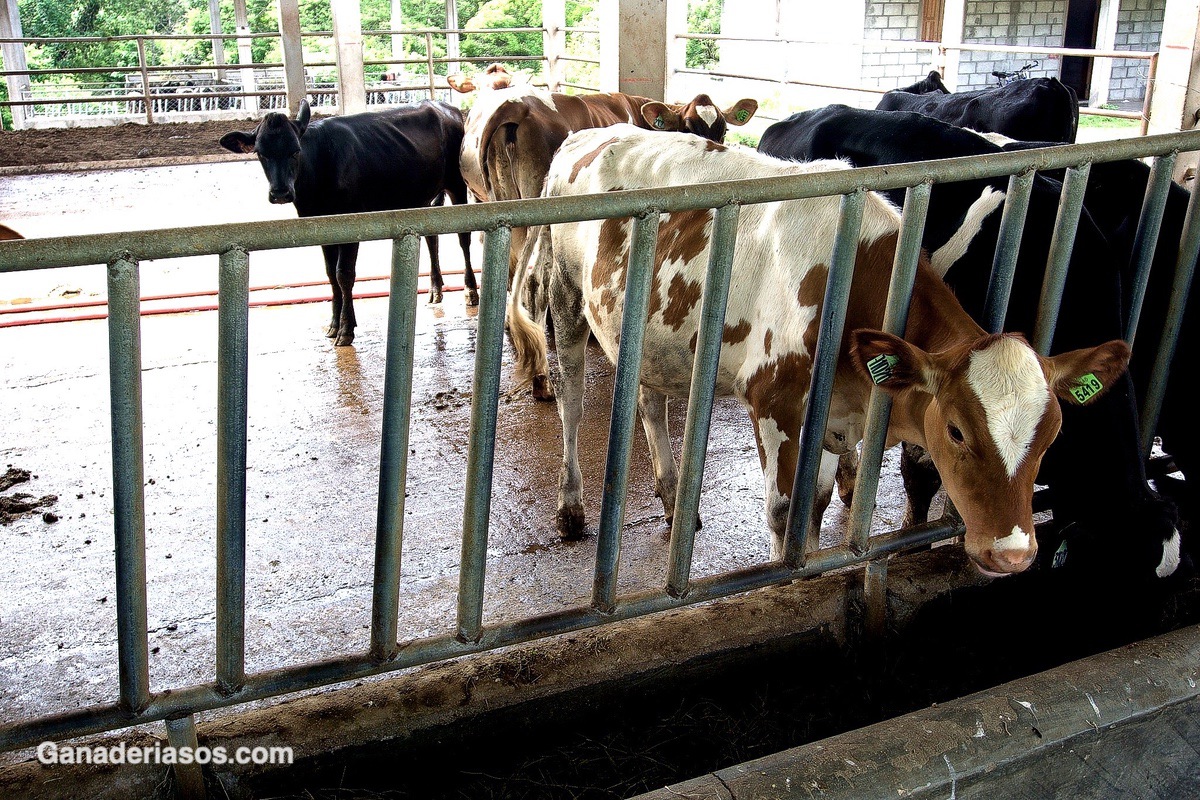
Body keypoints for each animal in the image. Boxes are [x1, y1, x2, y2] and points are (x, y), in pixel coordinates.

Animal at [220, 98, 472, 345]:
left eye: (296, 150)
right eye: (261, 153)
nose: (281, 192)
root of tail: (444, 107)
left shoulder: (352, 223)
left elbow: (344, 274)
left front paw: (346, 328)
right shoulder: (321, 228)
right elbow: (331, 274)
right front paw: (333, 324)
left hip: (457, 183)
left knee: (464, 238)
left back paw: (471, 291)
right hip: (424, 196)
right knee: (432, 236)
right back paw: (436, 289)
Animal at [508, 125, 1132, 573]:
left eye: (1052, 436)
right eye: (956, 430)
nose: (1012, 552)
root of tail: (586, 134)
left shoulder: (836, 413)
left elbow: (818, 504)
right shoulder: (775, 402)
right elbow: (785, 515)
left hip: (648, 332)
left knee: (650, 401)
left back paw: (669, 498)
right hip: (566, 294)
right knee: (570, 393)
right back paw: (571, 506)